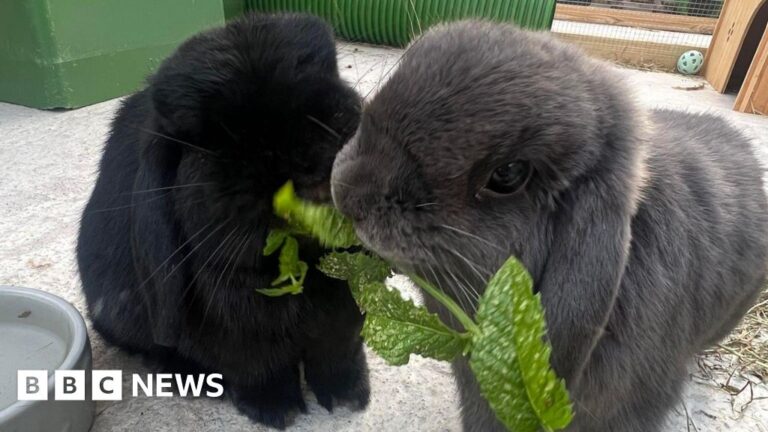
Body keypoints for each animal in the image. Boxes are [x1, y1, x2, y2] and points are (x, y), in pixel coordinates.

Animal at [77, 13, 368, 429]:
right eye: (206, 139)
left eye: (327, 75)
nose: (287, 154)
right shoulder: (237, 327)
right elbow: (257, 366)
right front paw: (276, 410)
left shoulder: (344, 318)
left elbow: (338, 353)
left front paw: (349, 397)